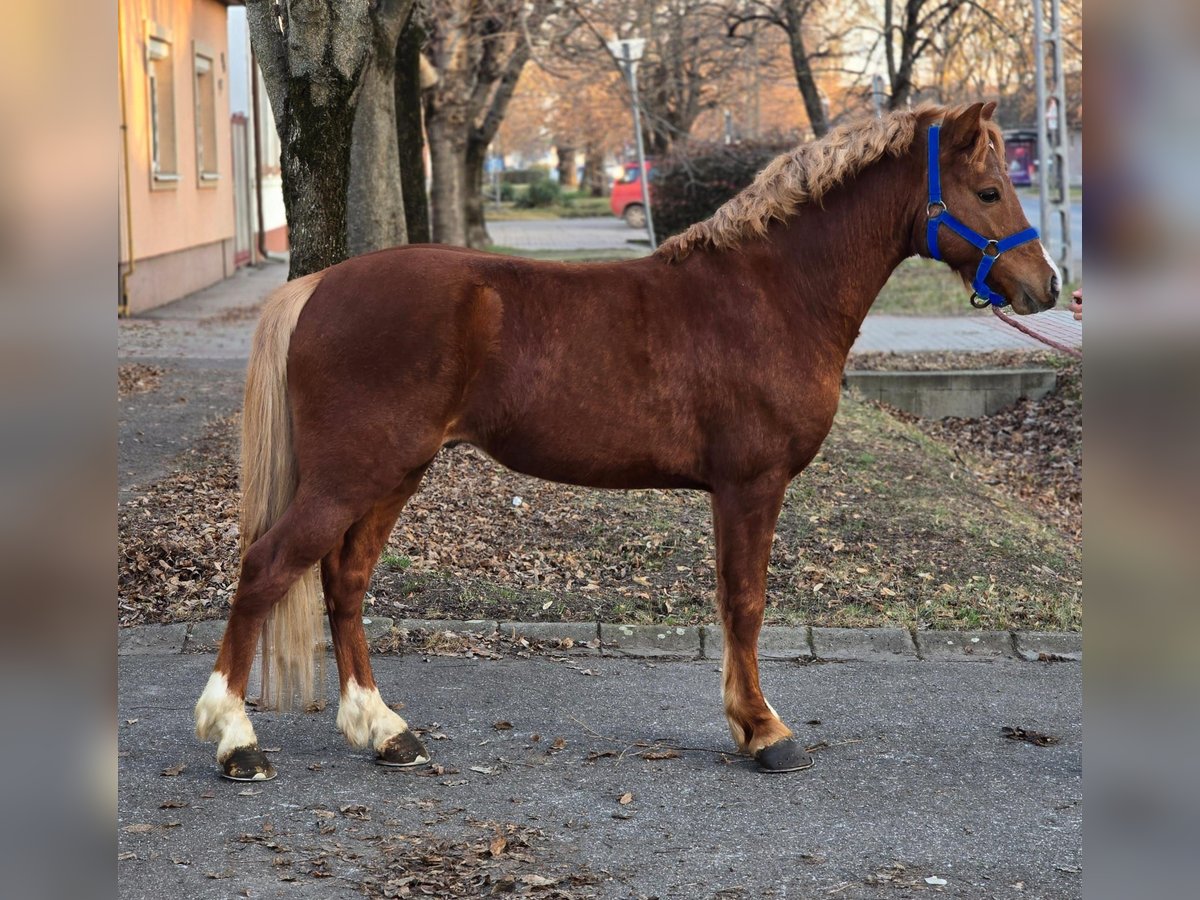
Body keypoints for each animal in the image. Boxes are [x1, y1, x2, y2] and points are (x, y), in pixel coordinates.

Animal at [194, 100, 1060, 782]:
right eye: (988, 190)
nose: (1044, 285)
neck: (771, 293)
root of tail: (319, 286)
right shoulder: (751, 485)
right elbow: (745, 602)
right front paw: (764, 732)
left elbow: (733, 602)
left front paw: (747, 722)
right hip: (353, 475)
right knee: (268, 568)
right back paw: (236, 739)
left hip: (393, 473)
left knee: (344, 582)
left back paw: (383, 731)